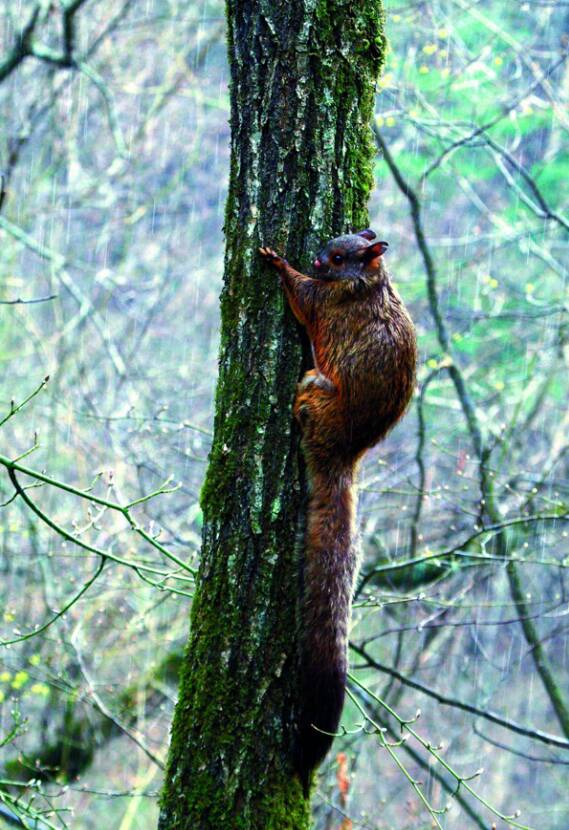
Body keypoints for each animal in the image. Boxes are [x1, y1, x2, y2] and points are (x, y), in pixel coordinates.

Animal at [260, 231, 414, 796]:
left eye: (341, 256)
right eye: (335, 241)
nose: (317, 258)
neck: (368, 283)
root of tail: (344, 455)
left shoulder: (328, 303)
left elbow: (304, 299)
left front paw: (279, 263)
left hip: (315, 390)